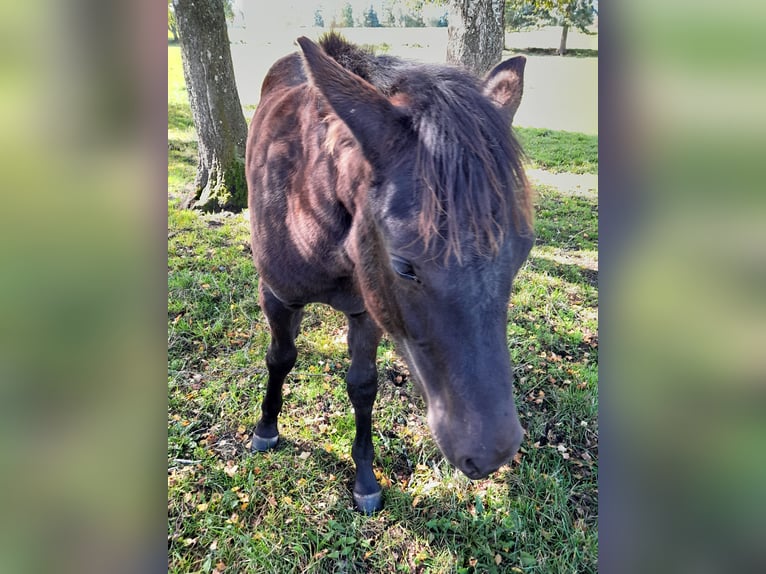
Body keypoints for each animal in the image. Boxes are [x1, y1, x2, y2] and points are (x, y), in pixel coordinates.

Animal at [246, 33, 536, 516]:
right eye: (404, 265)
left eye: (524, 250)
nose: (491, 452)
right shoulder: (276, 295)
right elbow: (280, 357)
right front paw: (266, 427)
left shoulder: (367, 311)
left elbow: (363, 386)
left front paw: (365, 479)